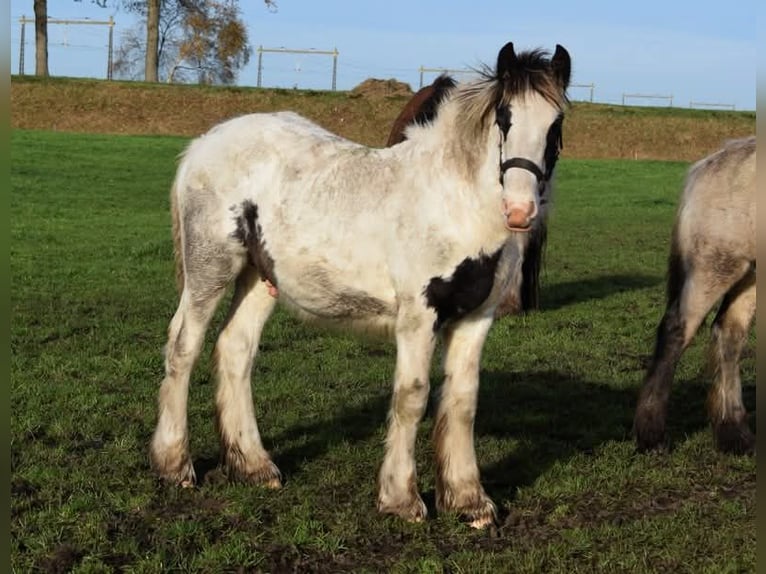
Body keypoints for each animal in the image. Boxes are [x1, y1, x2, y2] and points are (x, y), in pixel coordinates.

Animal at [633, 136, 756, 455]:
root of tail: (709, 162)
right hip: (714, 267)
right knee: (676, 331)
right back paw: (651, 435)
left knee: (729, 333)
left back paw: (734, 432)